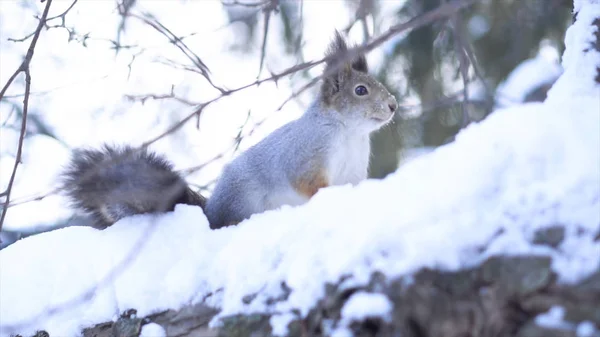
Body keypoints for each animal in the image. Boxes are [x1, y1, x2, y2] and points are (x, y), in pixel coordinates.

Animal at [62, 32, 398, 228]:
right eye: (360, 90)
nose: (393, 105)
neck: (350, 133)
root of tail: (211, 213)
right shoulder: (306, 156)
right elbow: (307, 183)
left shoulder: (353, 171)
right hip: (244, 200)